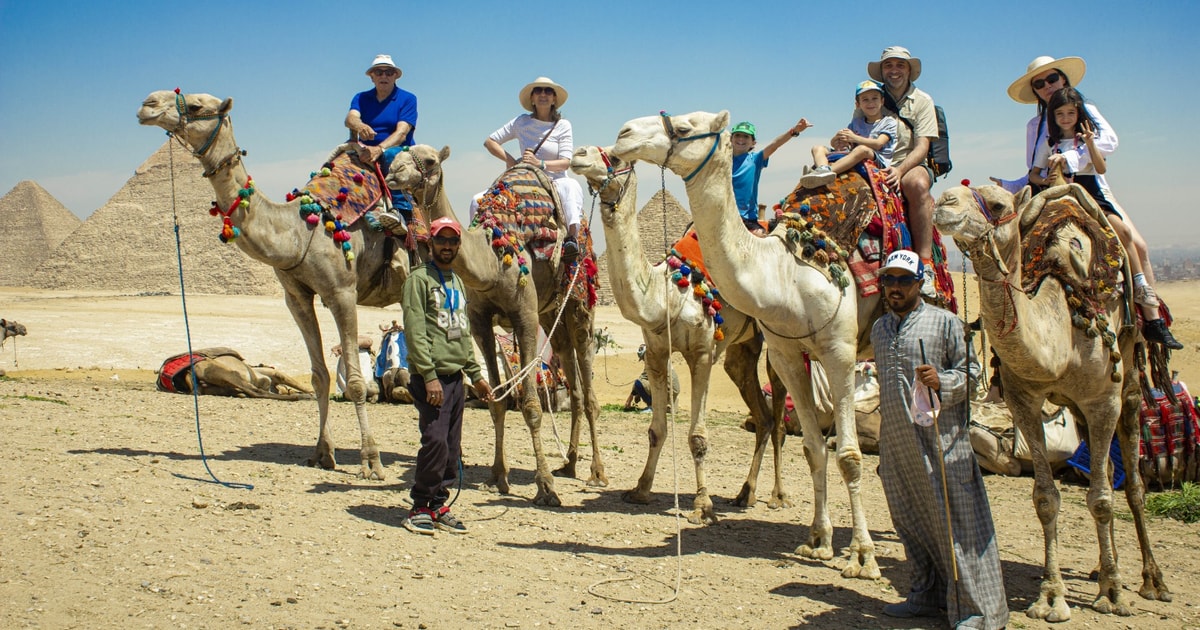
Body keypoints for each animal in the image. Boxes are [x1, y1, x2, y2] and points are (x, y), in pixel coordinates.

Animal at [137, 90, 403, 480]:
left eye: (198, 105)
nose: (148, 104)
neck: (299, 230)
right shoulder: (297, 297)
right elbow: (320, 376)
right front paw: (322, 453)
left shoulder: (342, 292)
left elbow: (355, 381)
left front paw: (371, 461)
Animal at [386, 145, 609, 504]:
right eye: (398, 157)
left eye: (430, 160)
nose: (394, 172)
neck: (491, 261)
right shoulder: (479, 322)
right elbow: (496, 400)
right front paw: (497, 477)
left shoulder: (525, 317)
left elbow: (531, 405)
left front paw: (545, 487)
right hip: (551, 312)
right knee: (569, 373)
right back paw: (569, 464)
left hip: (579, 303)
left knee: (587, 382)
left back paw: (596, 472)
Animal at [566, 143, 792, 520]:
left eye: (617, 157)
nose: (579, 153)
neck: (668, 293)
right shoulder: (656, 353)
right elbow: (656, 430)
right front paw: (640, 490)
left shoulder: (701, 353)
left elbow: (697, 436)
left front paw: (702, 504)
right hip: (741, 352)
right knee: (763, 418)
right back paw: (745, 494)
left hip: (778, 342)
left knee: (780, 417)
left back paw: (778, 495)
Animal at [926, 184, 1171, 619]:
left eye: (999, 204)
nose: (946, 202)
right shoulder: (1023, 398)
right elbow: (1045, 497)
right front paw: (1052, 596)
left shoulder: (1103, 399)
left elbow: (1103, 498)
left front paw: (1113, 594)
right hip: (1076, 407)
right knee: (1105, 467)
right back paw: (1101, 567)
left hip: (1128, 384)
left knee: (1131, 484)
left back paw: (1149, 580)